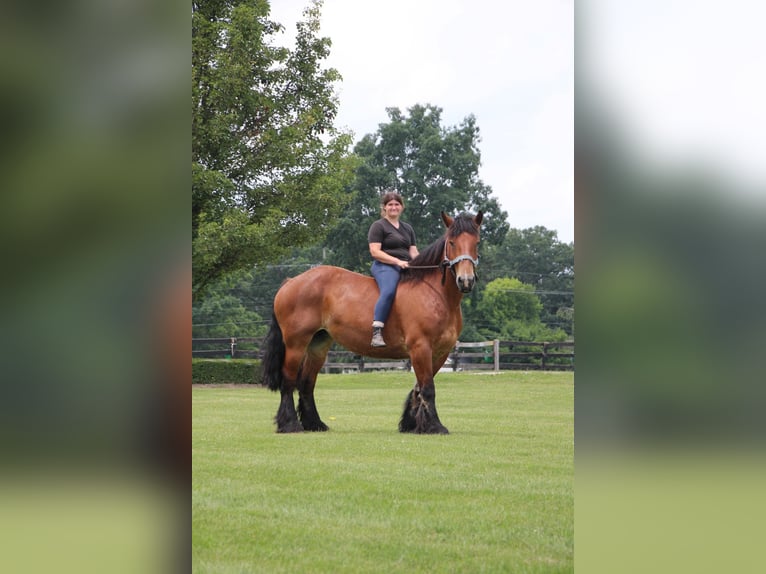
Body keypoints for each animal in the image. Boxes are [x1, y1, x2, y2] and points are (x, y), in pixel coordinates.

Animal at [260, 213, 484, 436]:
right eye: (452, 242)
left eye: (476, 242)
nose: (466, 280)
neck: (436, 294)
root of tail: (291, 281)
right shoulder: (421, 348)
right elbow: (428, 389)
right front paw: (435, 426)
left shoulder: (440, 352)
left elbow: (419, 388)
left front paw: (412, 424)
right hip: (296, 344)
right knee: (289, 379)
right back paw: (289, 424)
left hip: (318, 344)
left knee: (307, 382)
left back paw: (314, 423)